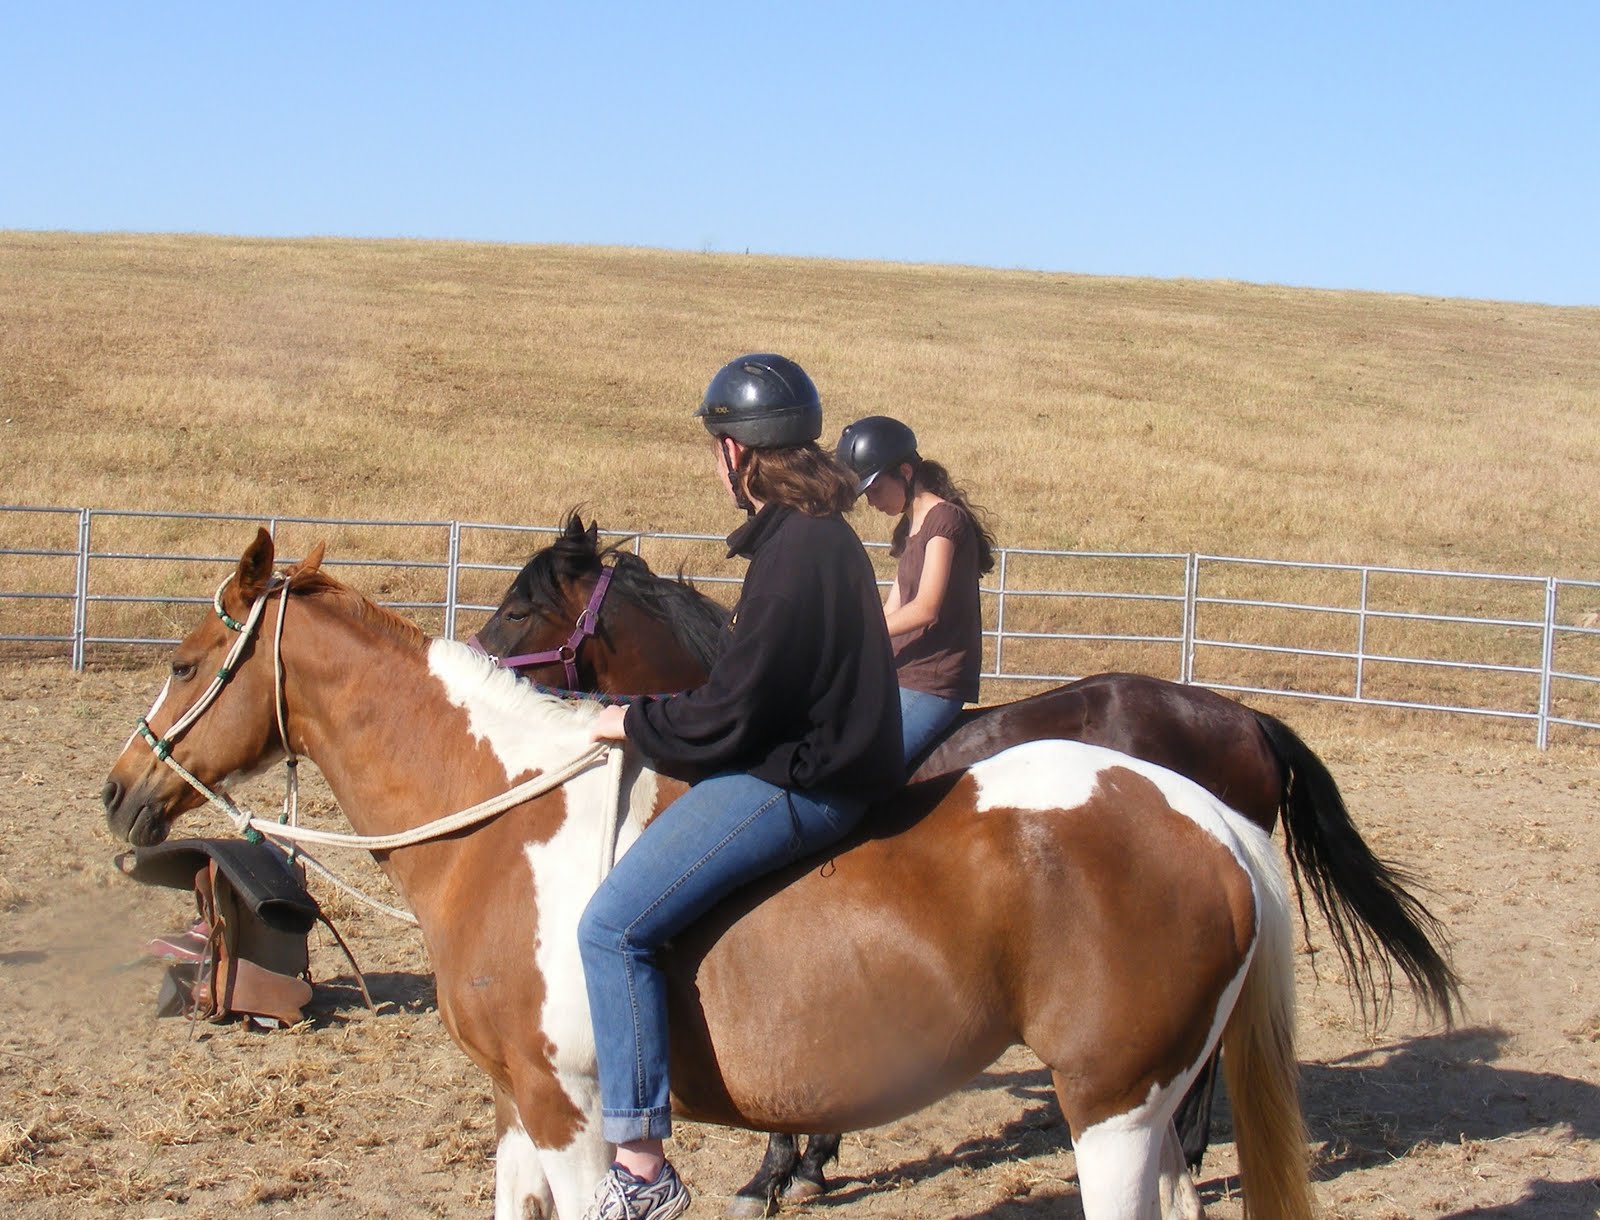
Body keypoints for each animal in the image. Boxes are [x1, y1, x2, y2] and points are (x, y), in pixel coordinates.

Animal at [103, 529, 1316, 1220]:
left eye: (183, 664)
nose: (120, 790)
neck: (510, 813)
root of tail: (1201, 809)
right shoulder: (519, 1103)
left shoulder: (574, 1112)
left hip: (1111, 1110)